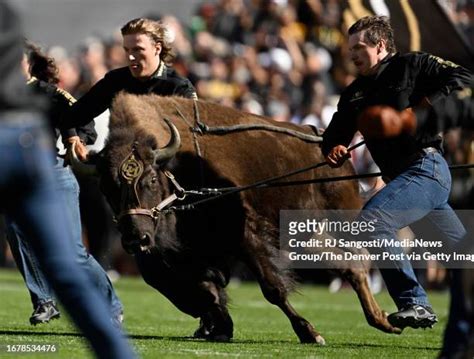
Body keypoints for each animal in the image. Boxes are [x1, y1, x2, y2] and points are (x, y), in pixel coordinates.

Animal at [73, 94, 400, 344]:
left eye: (151, 179)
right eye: (106, 186)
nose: (135, 239)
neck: (177, 174)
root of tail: (334, 148)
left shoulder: (247, 239)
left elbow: (272, 288)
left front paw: (310, 333)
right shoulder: (181, 259)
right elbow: (203, 293)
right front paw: (219, 328)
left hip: (342, 222)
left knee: (362, 257)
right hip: (306, 237)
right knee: (351, 264)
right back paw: (383, 320)